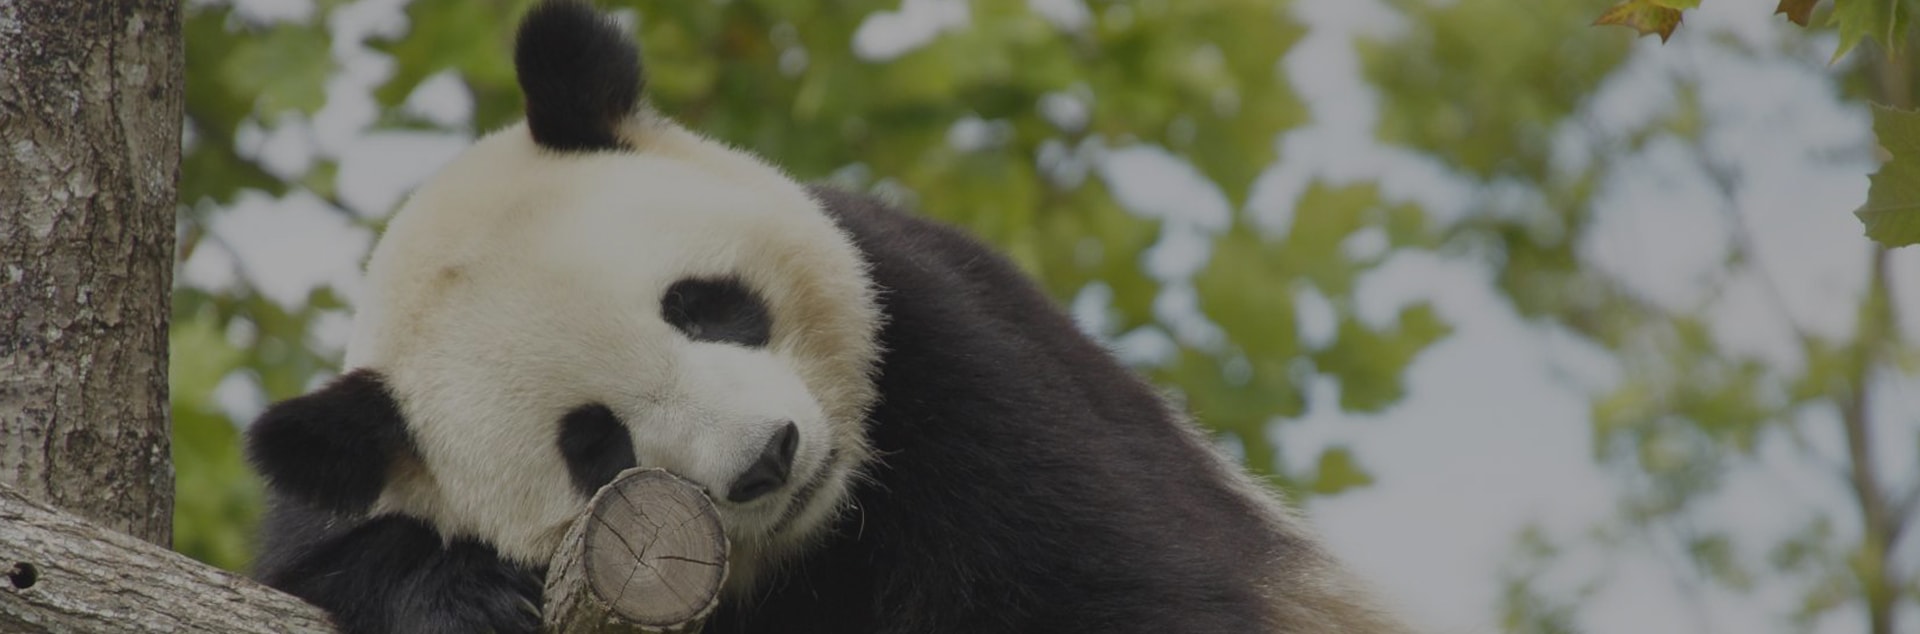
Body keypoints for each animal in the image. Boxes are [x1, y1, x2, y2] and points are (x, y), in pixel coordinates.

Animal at [243, 1, 1413, 634]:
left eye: (705, 308)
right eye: (596, 445)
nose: (768, 458)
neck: (825, 532)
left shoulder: (952, 357)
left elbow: (1117, 581)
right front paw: (466, 591)